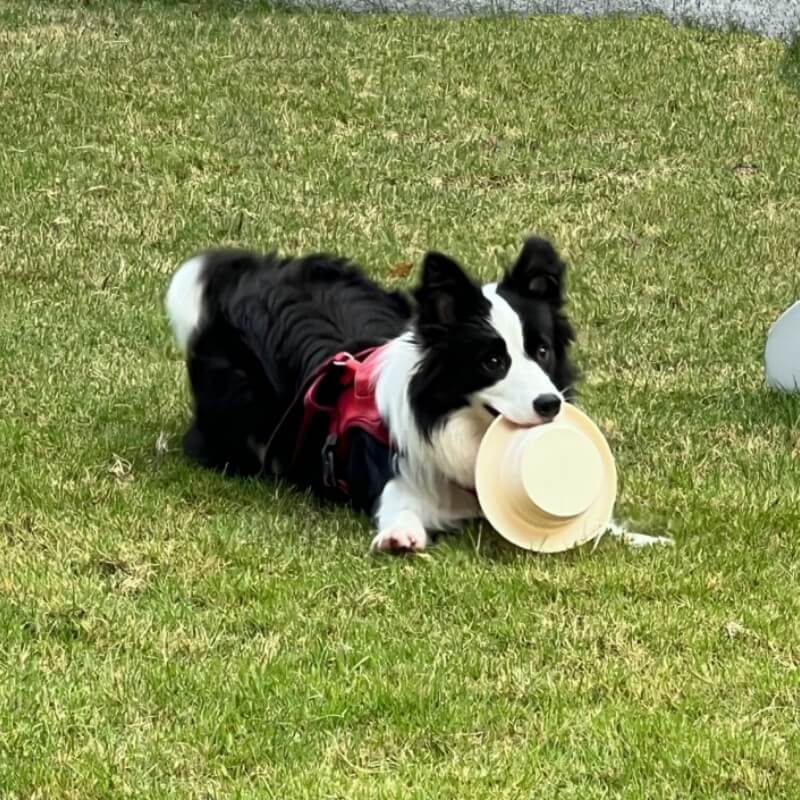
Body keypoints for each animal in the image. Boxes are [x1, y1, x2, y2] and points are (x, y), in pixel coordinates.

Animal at [164, 234, 668, 552]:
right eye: (492, 361)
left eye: (541, 350)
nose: (550, 405)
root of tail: (254, 274)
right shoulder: (396, 480)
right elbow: (400, 510)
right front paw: (399, 537)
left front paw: (642, 538)